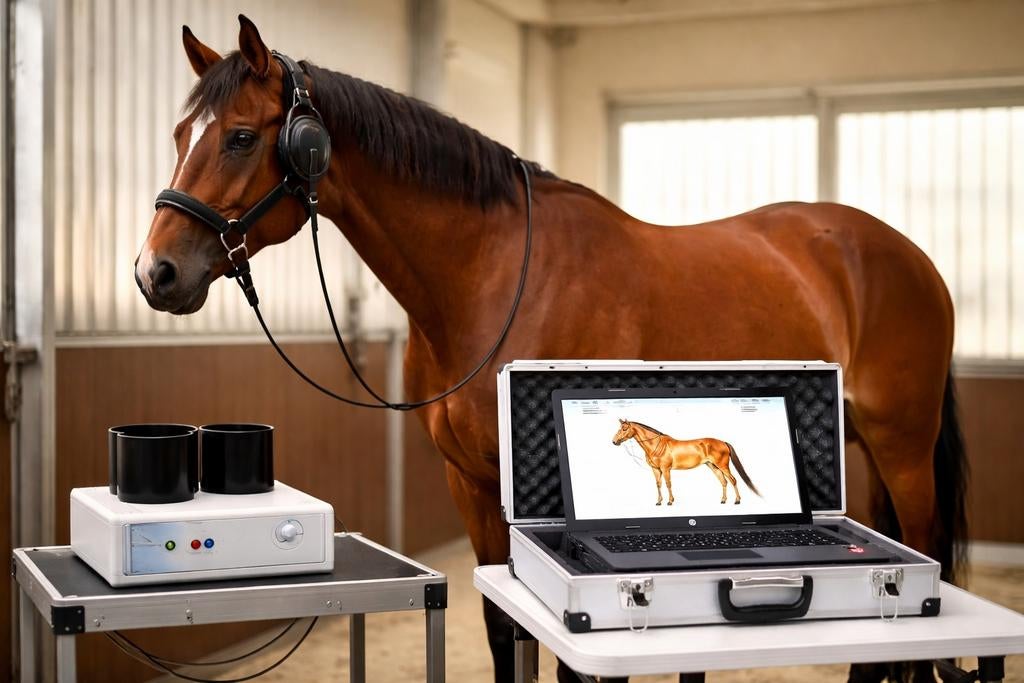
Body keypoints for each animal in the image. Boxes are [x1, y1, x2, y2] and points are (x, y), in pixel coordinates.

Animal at [612, 419, 759, 505]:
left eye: (624, 428)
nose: (614, 441)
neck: (656, 445)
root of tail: (723, 442)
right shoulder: (656, 470)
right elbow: (658, 484)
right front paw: (659, 502)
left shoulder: (665, 469)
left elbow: (668, 484)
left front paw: (670, 502)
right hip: (713, 466)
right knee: (724, 482)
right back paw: (723, 500)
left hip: (722, 466)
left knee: (733, 480)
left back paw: (737, 500)